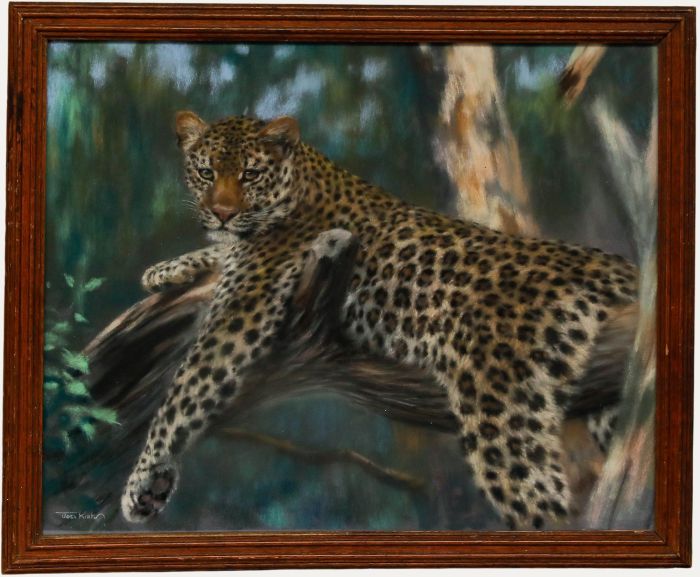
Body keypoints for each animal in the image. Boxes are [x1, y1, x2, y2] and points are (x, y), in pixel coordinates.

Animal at [121, 110, 638, 530]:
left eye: (250, 174)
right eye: (206, 172)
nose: (222, 212)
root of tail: (615, 265)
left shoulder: (243, 309)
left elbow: (184, 390)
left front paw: (143, 478)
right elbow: (217, 256)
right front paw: (164, 269)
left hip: (500, 403)